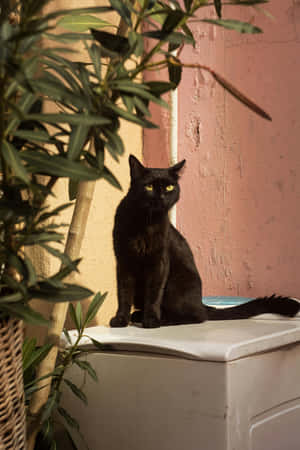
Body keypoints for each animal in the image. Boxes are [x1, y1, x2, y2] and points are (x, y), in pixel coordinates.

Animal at [109, 154, 298, 326]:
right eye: (148, 186)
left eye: (169, 187)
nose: (161, 196)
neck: (146, 222)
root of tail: (202, 302)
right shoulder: (123, 261)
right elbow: (123, 293)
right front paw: (120, 319)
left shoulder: (159, 262)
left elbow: (154, 294)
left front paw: (151, 320)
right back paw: (137, 316)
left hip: (177, 285)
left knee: (198, 316)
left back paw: (161, 319)